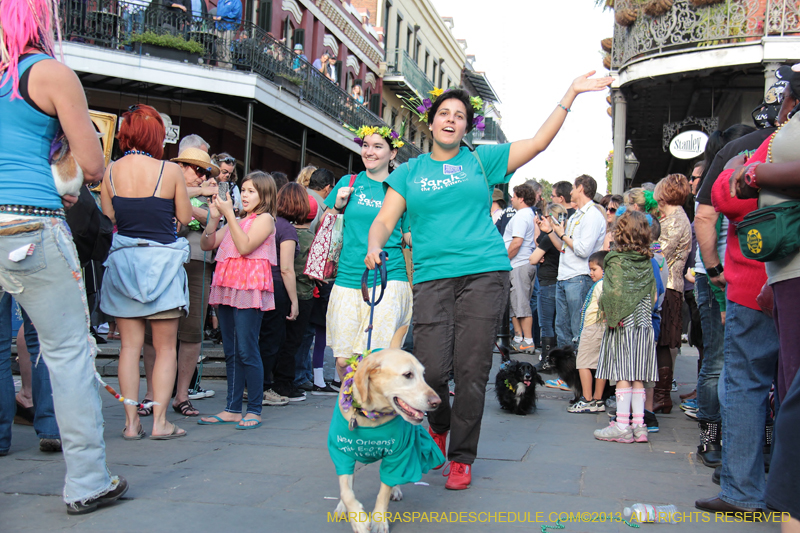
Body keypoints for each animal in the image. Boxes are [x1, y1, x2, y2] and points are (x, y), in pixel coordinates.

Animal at [326, 324, 444, 532]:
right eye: (408, 375)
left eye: (423, 375)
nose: (436, 402)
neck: (370, 414)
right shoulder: (341, 451)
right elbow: (346, 489)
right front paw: (357, 518)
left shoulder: (398, 453)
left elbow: (384, 489)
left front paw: (379, 520)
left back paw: (395, 490)